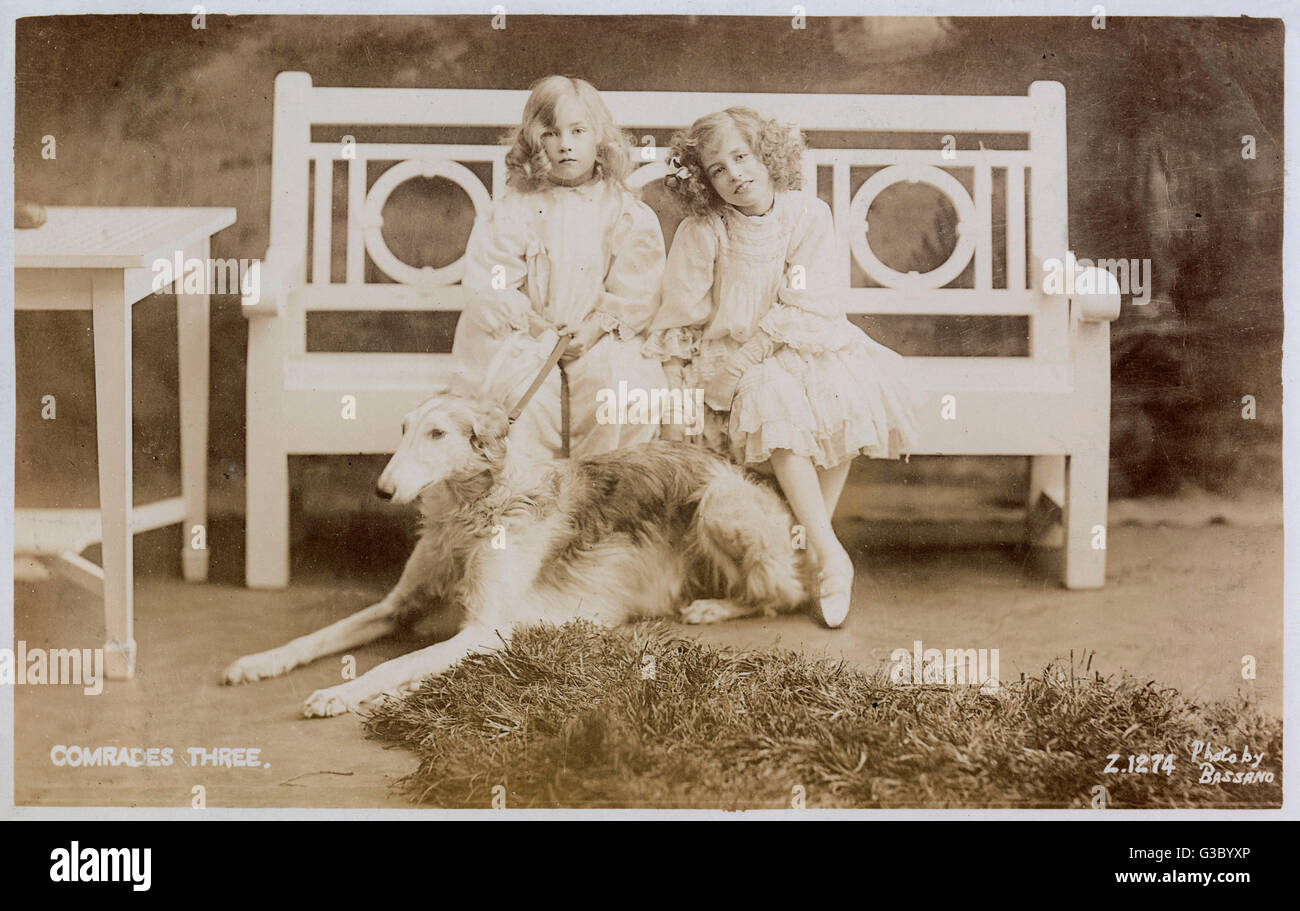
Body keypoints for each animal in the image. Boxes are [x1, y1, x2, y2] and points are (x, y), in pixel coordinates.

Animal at [223, 379, 811, 712]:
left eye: (437, 434)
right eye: (406, 429)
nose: (383, 490)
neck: (473, 512)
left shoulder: (486, 628)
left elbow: (396, 664)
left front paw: (340, 693)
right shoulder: (400, 606)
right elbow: (320, 637)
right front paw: (258, 662)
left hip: (718, 504)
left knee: (782, 592)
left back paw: (713, 607)